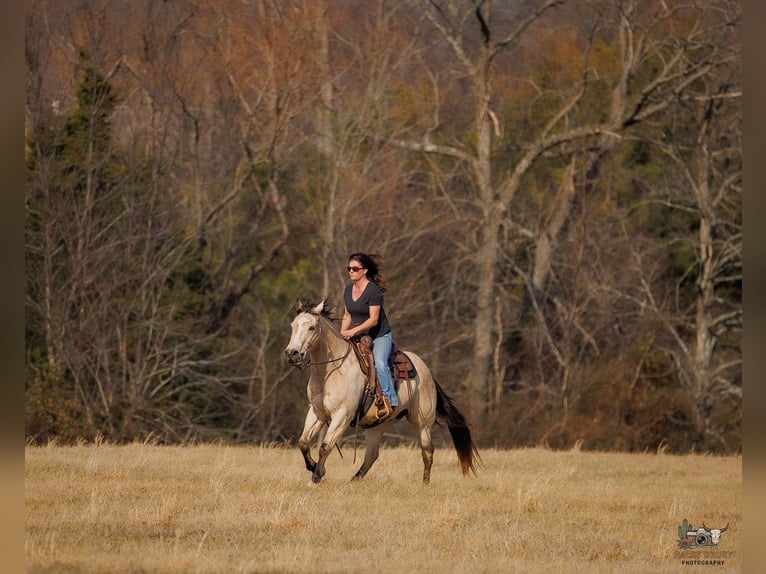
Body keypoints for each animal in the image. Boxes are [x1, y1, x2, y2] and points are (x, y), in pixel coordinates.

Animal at [284, 299, 480, 484]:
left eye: (311, 327)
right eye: (293, 325)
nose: (292, 353)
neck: (333, 371)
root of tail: (428, 373)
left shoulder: (342, 415)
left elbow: (325, 446)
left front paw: (316, 477)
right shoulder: (317, 412)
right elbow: (303, 442)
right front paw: (315, 468)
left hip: (422, 422)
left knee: (427, 451)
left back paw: (425, 483)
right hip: (379, 424)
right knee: (371, 456)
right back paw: (354, 481)